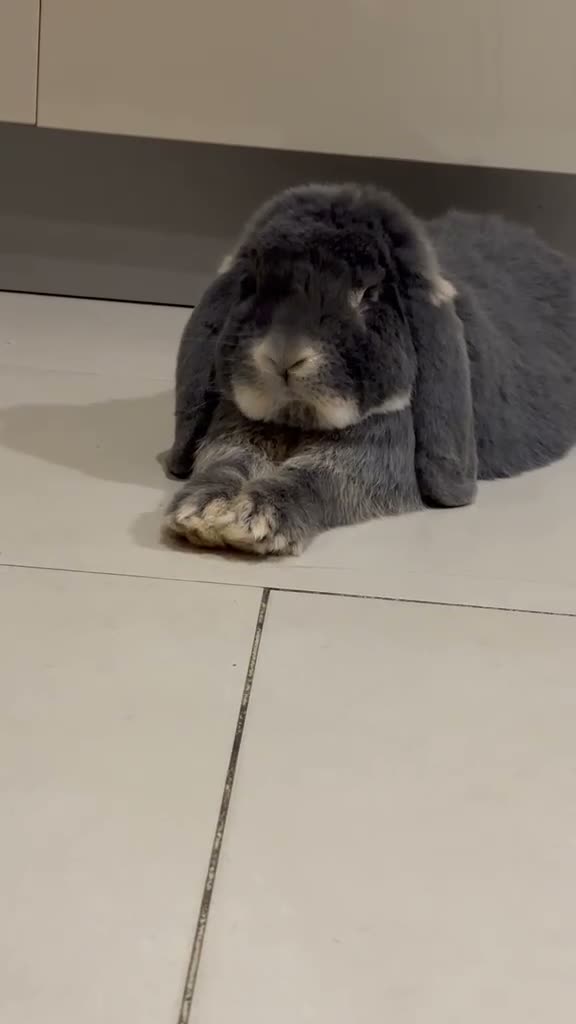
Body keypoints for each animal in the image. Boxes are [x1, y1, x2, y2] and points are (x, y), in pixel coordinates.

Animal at [163, 183, 576, 555]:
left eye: (368, 295)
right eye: (253, 285)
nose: (284, 357)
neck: (297, 422)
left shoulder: (371, 458)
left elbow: (311, 479)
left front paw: (254, 519)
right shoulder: (234, 430)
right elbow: (224, 464)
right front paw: (205, 514)